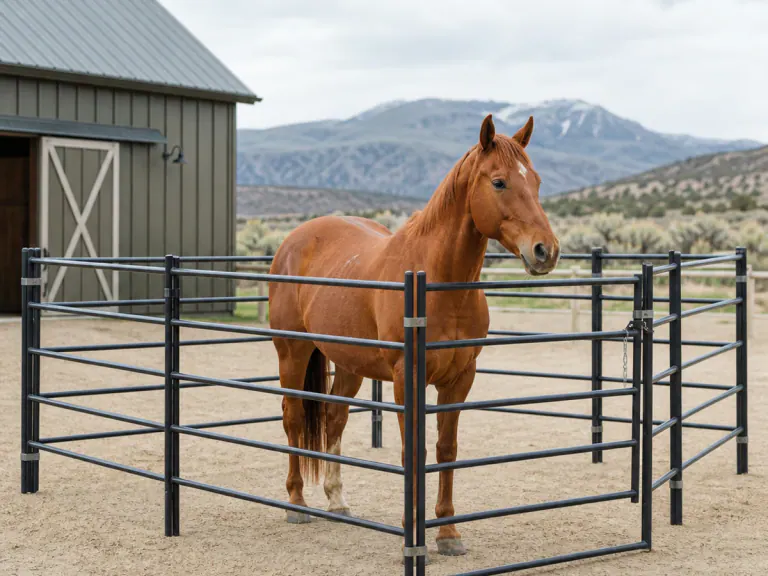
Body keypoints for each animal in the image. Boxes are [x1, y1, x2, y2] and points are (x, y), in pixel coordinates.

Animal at [268, 113, 560, 557]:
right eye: (499, 182)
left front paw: (448, 533)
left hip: (350, 362)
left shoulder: (460, 378)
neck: (436, 280)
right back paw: (297, 503)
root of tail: (293, 241)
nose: (546, 250)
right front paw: (413, 528)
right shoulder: (408, 378)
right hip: (293, 352)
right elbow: (413, 450)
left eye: (538, 181)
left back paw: (337, 501)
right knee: (294, 416)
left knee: (334, 417)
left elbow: (445, 449)